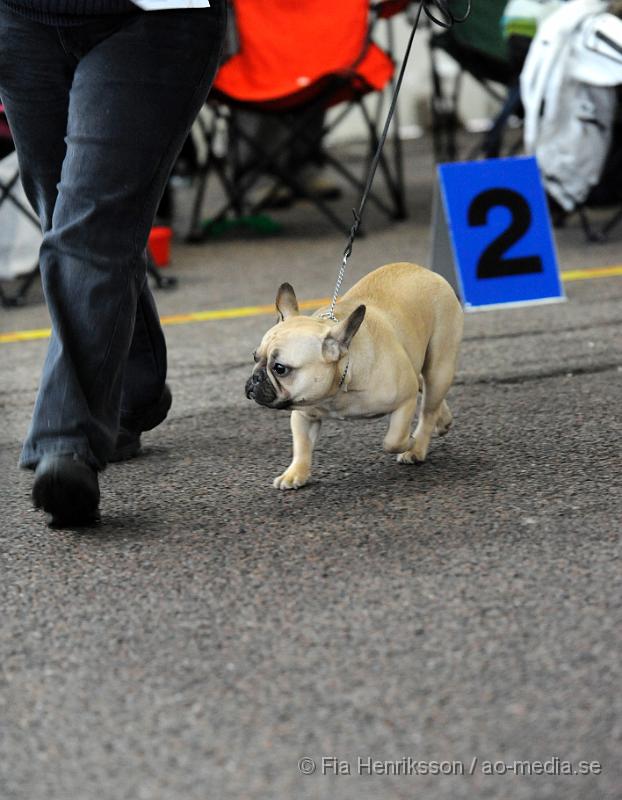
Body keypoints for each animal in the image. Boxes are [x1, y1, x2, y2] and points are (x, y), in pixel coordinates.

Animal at [246, 262, 466, 488]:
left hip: (439, 367)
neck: (337, 388)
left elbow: (393, 440)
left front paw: (409, 442)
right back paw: (443, 420)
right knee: (426, 390)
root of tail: (424, 271)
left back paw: (418, 447)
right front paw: (295, 473)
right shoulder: (304, 415)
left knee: (428, 408)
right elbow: (302, 446)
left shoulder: (406, 399)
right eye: (255, 357)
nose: (255, 378)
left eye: (280, 368)